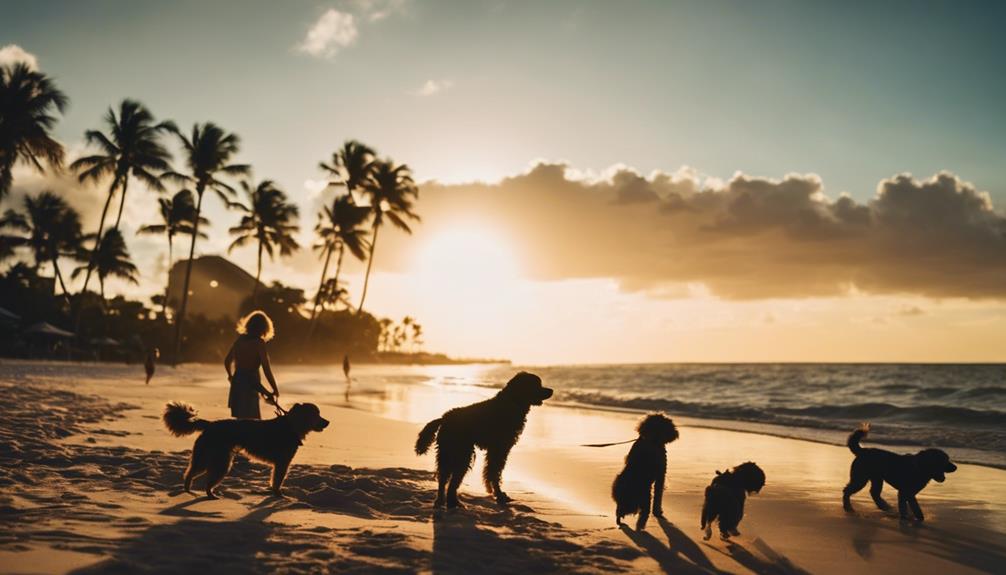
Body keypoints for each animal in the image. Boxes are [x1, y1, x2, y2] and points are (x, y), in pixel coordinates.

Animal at [163, 400, 329, 498]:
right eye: (317, 414)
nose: (328, 422)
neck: (291, 426)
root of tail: (210, 425)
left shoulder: (280, 463)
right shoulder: (282, 463)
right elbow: (277, 481)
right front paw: (278, 495)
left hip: (208, 458)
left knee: (191, 473)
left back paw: (190, 491)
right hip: (219, 461)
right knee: (200, 478)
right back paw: (207, 494)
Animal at [412, 367, 551, 506]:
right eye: (537, 385)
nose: (551, 390)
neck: (512, 402)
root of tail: (444, 418)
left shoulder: (495, 450)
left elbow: (490, 472)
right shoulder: (499, 449)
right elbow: (494, 472)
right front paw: (499, 495)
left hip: (448, 452)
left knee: (443, 477)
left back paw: (441, 501)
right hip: (462, 453)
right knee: (452, 479)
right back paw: (452, 502)